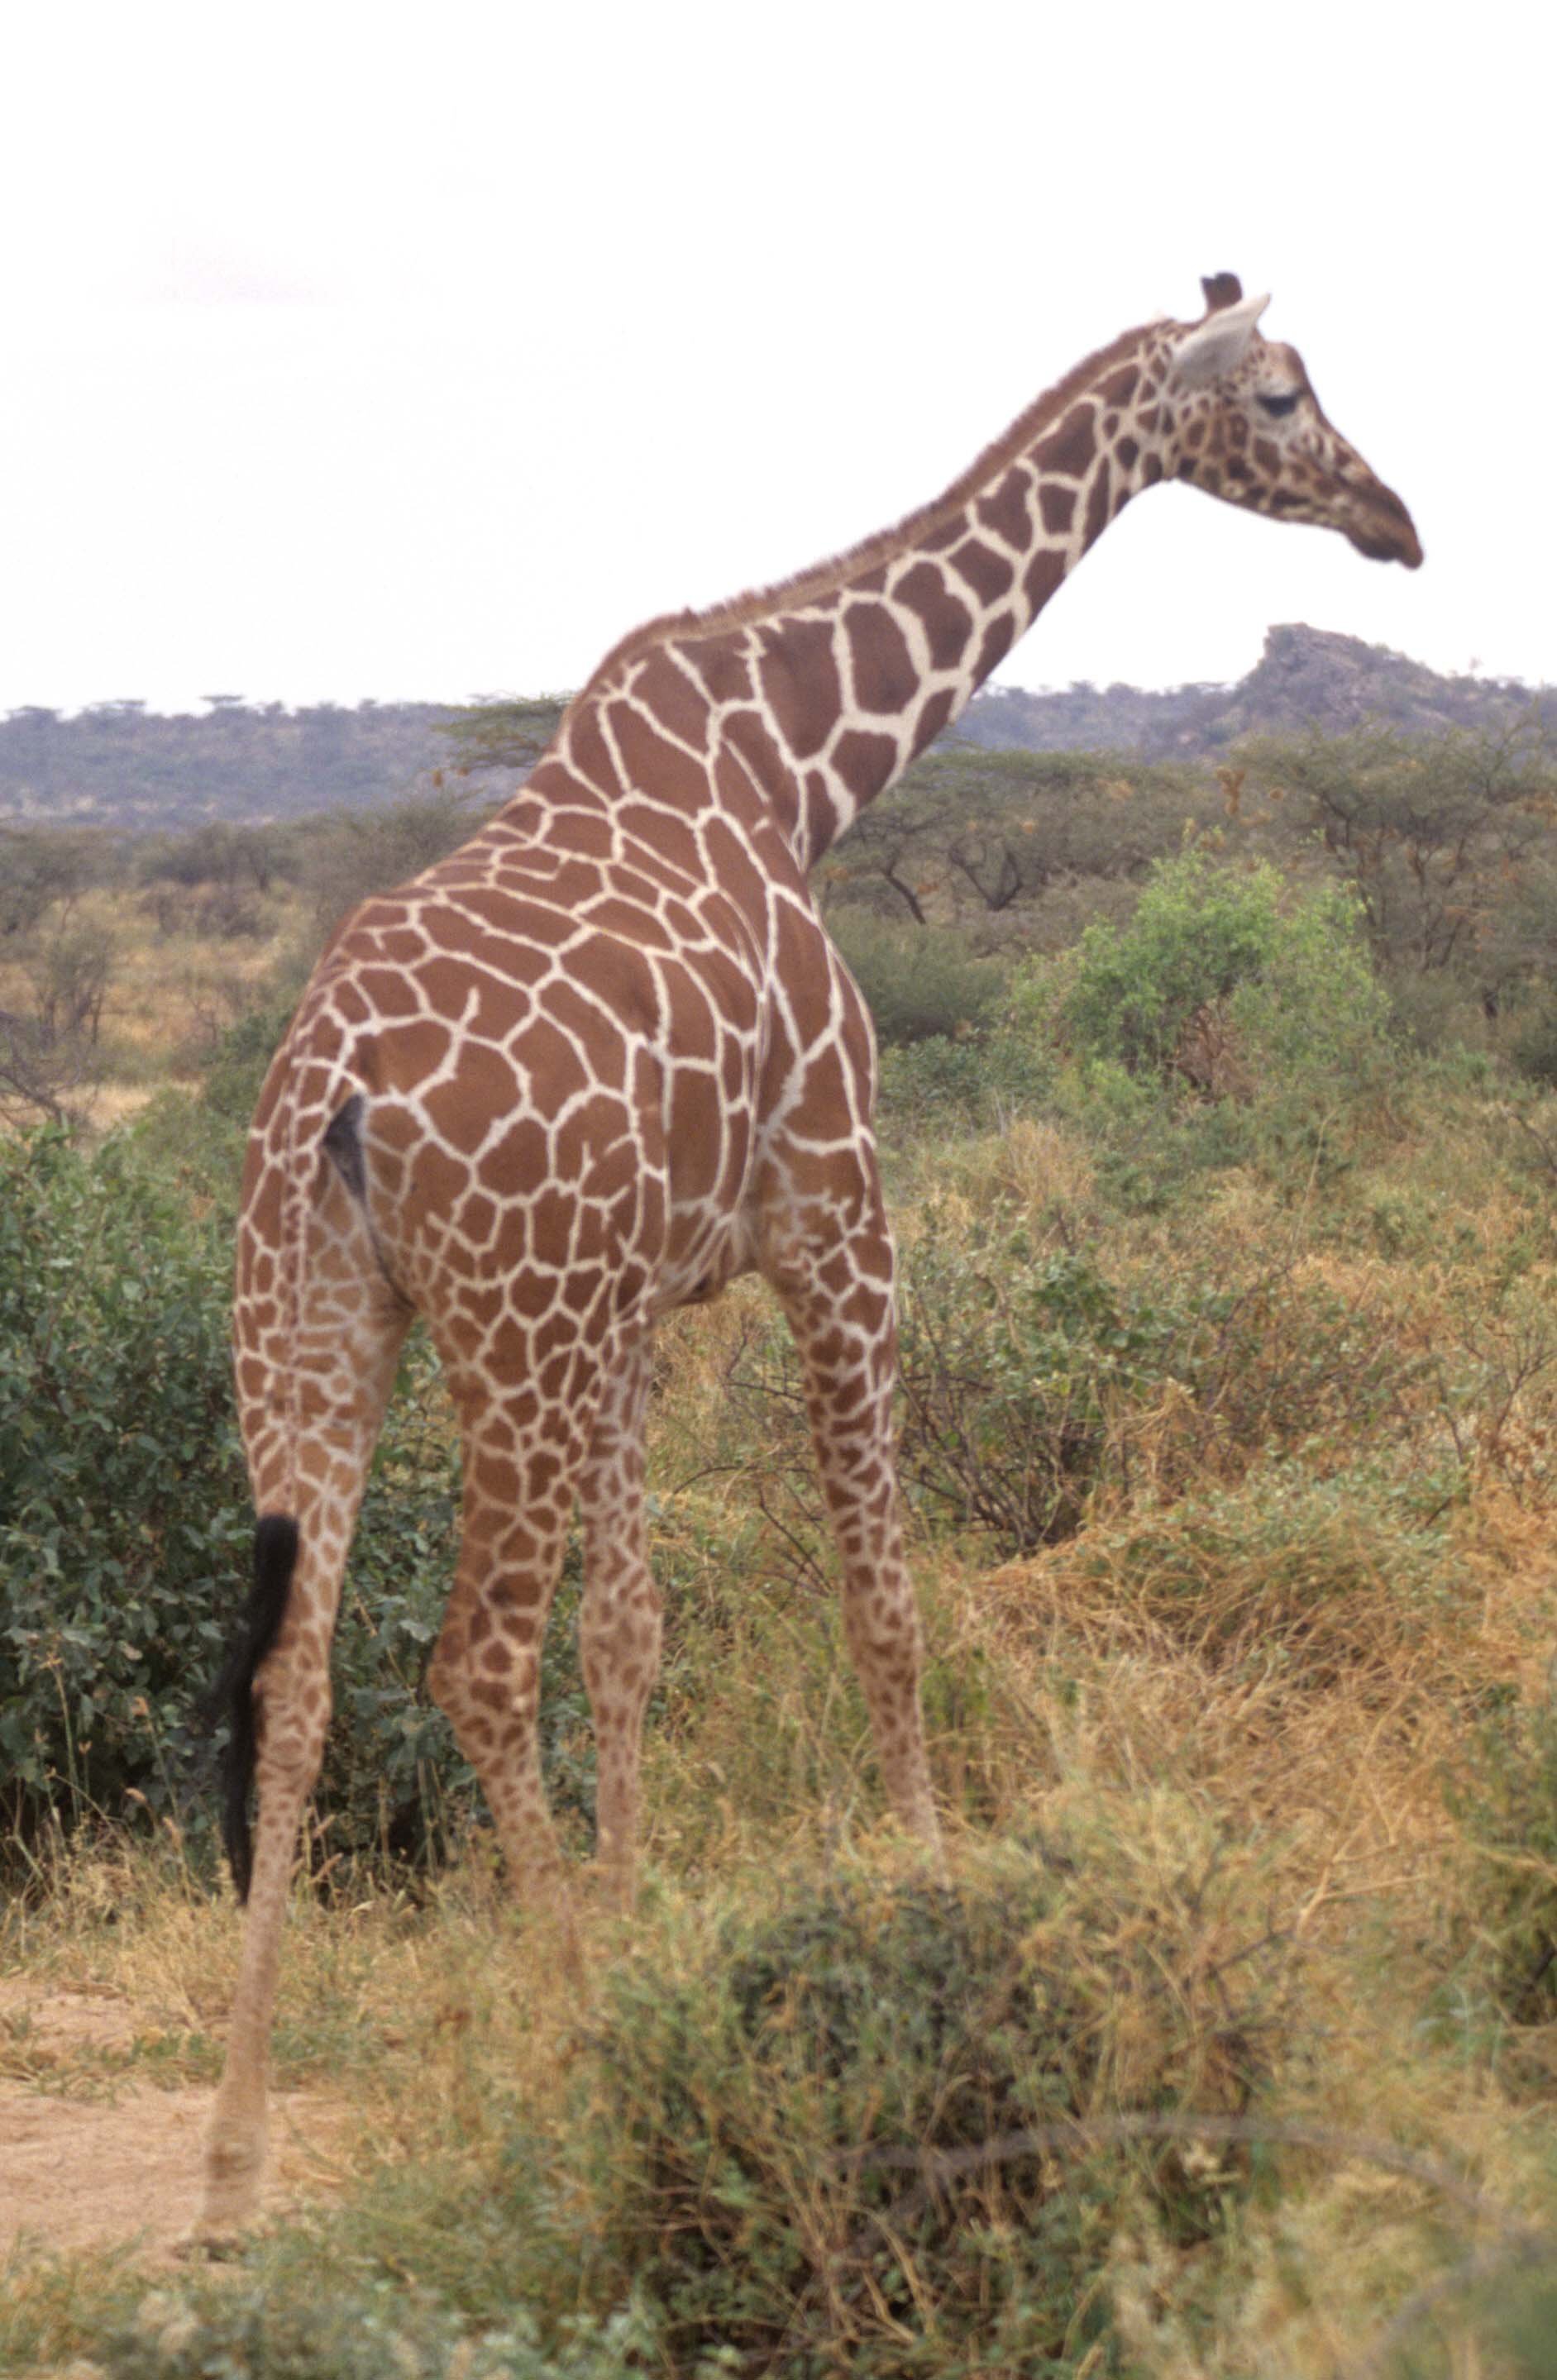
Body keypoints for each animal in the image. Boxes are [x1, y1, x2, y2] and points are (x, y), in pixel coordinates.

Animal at [201, 273, 1420, 2227]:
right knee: (470, 1659)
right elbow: (885, 1604)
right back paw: (574, 2054)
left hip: (315, 1325)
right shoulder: (838, 1220)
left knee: (299, 1676)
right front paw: (926, 1900)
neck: (796, 767)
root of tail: (329, 1079)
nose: (1394, 520)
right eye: (1281, 396)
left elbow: (632, 1627)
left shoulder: (632, 1310)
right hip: (508, 1328)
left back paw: (233, 2166)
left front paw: (642, 1926)